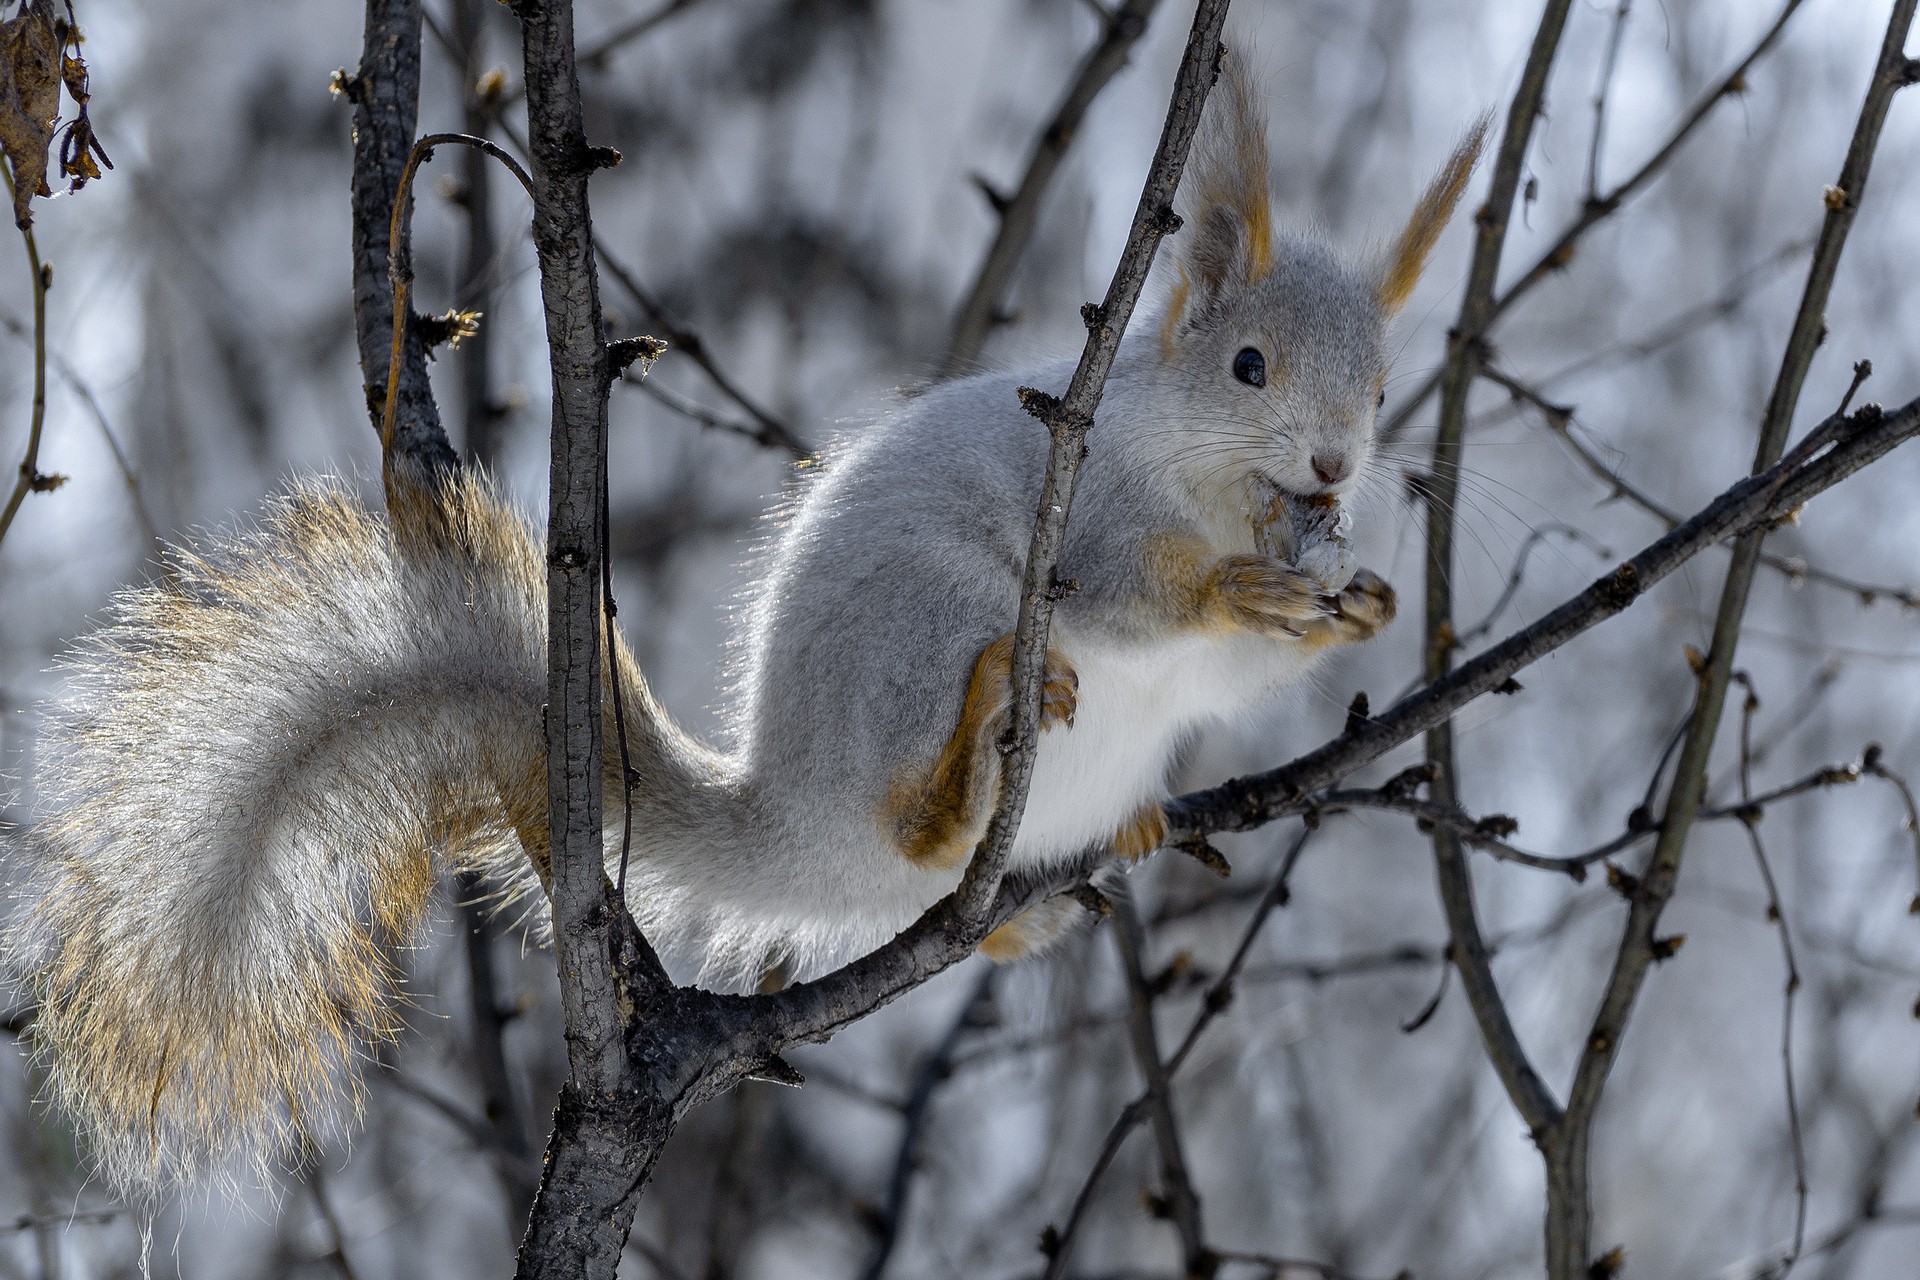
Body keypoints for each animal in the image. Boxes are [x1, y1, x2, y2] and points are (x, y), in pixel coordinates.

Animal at [0, 67, 1482, 1189]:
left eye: (1384, 388)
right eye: (1248, 367)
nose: (1340, 465)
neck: (1224, 495)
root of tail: (786, 815)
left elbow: (1231, 677)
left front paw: (1361, 607)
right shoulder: (1100, 511)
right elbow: (1139, 588)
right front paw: (1241, 589)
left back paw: (1089, 851)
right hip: (925, 626)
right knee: (921, 817)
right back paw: (973, 743)